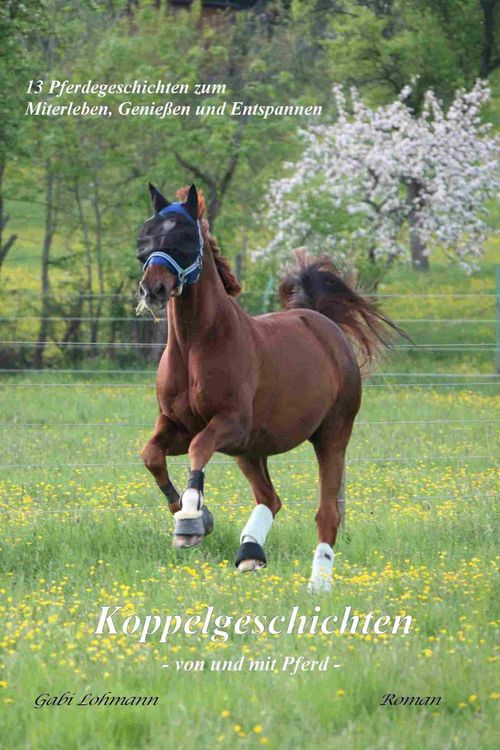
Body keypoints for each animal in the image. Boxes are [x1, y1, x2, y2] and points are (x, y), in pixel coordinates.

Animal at [136, 183, 401, 591]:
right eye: (146, 237)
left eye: (183, 238)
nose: (153, 288)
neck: (196, 346)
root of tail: (323, 323)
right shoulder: (177, 426)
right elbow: (151, 454)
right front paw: (189, 512)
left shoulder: (229, 424)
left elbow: (198, 449)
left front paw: (191, 520)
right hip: (250, 451)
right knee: (270, 499)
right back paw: (250, 552)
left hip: (331, 435)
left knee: (327, 513)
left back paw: (318, 582)